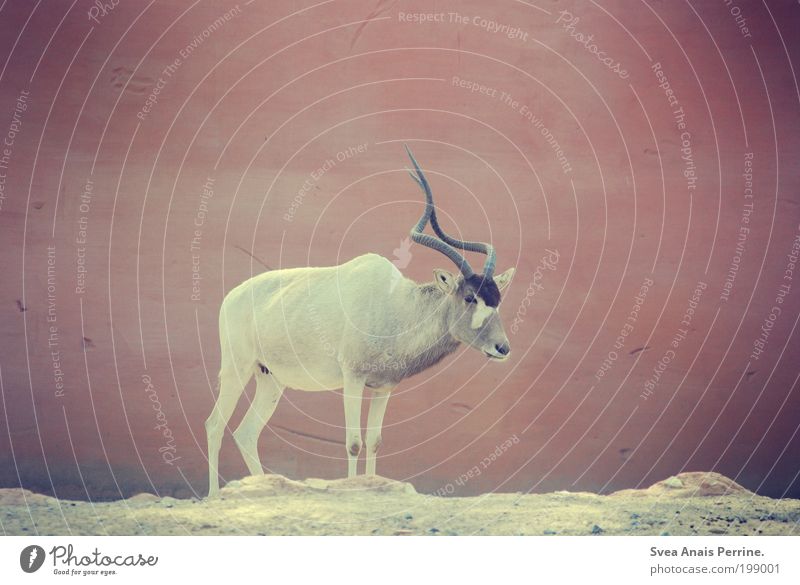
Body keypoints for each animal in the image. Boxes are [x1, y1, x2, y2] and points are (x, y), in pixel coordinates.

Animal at [206, 146, 516, 492]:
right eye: (470, 297)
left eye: (497, 299)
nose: (502, 348)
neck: (394, 305)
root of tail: (232, 297)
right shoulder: (352, 379)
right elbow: (353, 443)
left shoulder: (384, 387)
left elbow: (375, 441)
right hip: (237, 368)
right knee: (215, 425)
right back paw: (214, 494)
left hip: (270, 378)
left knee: (246, 433)